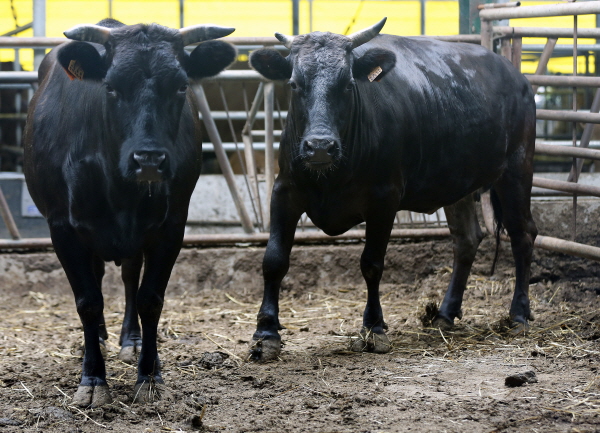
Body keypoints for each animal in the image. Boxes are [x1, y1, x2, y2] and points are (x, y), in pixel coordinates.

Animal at [23, 19, 237, 406]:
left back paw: (131, 339)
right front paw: (93, 379)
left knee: (128, 277)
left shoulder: (171, 226)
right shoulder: (62, 228)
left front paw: (149, 375)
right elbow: (88, 302)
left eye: (182, 85)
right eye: (110, 87)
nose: (148, 159)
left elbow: (149, 299)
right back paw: (98, 340)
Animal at [247, 18, 537, 361]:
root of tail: (515, 75)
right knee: (467, 239)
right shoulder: (285, 192)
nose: (319, 146)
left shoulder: (384, 199)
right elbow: (274, 260)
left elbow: (372, 264)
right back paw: (444, 314)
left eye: (348, 85)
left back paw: (518, 314)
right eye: (293, 84)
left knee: (523, 234)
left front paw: (374, 328)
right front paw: (265, 334)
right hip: (459, 183)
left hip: (517, 169)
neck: (331, 176)